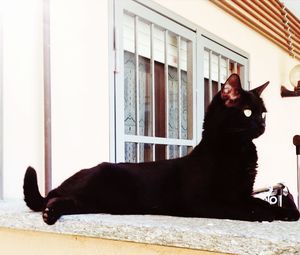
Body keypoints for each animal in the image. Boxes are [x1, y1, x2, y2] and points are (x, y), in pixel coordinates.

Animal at [23, 74, 300, 225]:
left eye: (264, 113)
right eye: (248, 112)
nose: (262, 125)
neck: (239, 149)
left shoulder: (241, 193)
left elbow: (262, 202)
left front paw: (285, 211)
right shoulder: (202, 201)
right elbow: (243, 209)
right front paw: (262, 214)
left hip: (95, 202)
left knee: (65, 201)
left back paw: (51, 212)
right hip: (97, 188)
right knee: (54, 199)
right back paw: (49, 213)